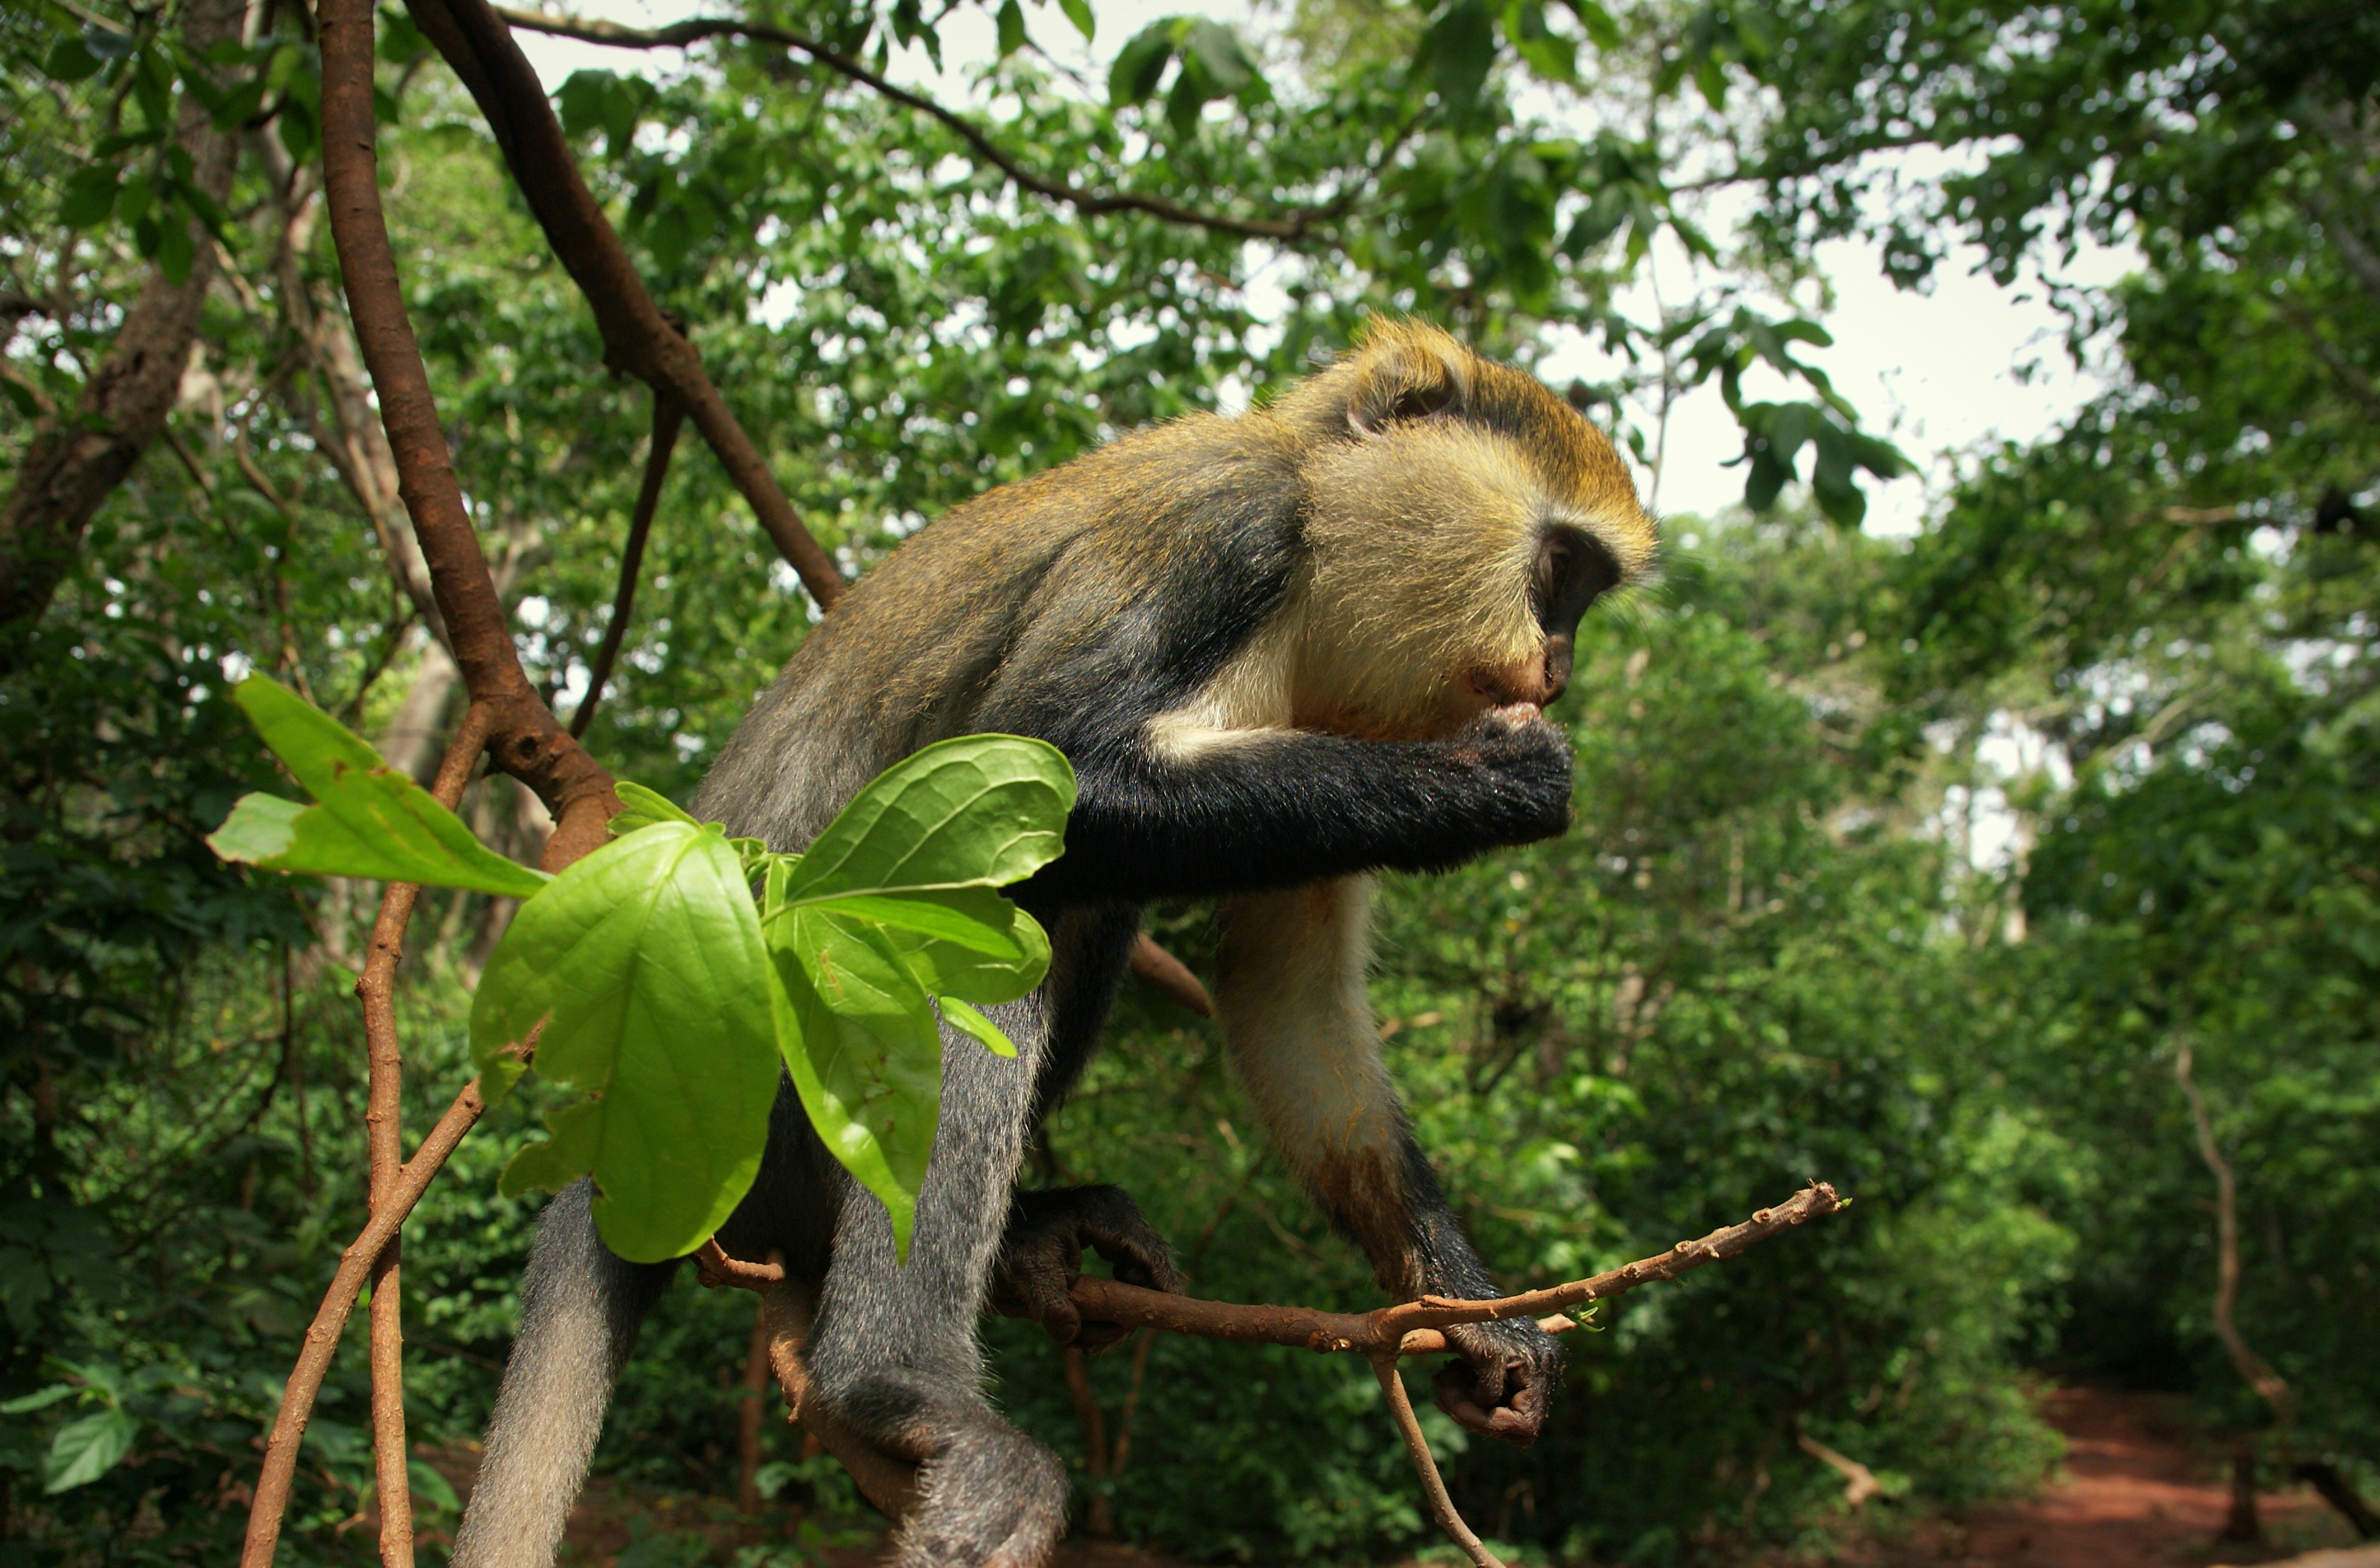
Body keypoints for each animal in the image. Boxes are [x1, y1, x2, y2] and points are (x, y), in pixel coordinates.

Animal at [454, 319, 1666, 1568]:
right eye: (1560, 574)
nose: (1561, 665)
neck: (1320, 542)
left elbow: (1288, 1001)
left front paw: (1479, 1317)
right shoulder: (1224, 532)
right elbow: (1049, 783)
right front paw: (1497, 779)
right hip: (773, 1090)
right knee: (986, 919)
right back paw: (895, 1386)